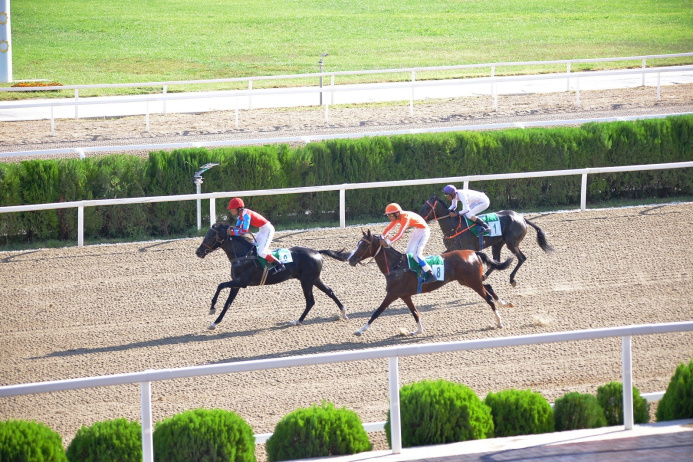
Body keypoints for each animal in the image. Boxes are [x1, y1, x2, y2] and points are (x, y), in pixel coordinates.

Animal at [193, 223, 346, 328]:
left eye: (210, 236)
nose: (198, 252)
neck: (243, 255)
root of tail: (317, 252)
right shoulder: (236, 283)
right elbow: (227, 303)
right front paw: (214, 322)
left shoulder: (242, 282)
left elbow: (220, 285)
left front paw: (212, 307)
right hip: (314, 279)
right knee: (329, 292)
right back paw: (343, 313)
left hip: (307, 280)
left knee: (310, 301)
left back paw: (298, 321)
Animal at [346, 230, 512, 336]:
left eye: (363, 245)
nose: (350, 259)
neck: (396, 266)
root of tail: (473, 252)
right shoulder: (405, 295)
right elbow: (415, 312)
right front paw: (418, 330)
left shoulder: (392, 294)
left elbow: (377, 312)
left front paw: (360, 330)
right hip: (468, 281)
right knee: (488, 286)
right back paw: (505, 304)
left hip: (473, 282)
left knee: (488, 298)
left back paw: (499, 321)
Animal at [418, 194, 556, 286]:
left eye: (427, 207)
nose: (419, 217)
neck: (453, 226)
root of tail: (521, 217)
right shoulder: (451, 249)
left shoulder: (470, 249)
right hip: (498, 243)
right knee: (497, 260)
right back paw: (485, 276)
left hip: (512, 243)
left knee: (521, 258)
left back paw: (512, 279)